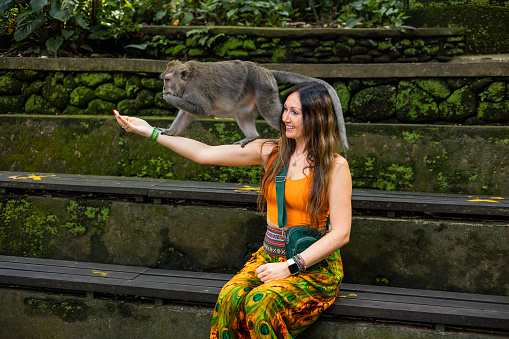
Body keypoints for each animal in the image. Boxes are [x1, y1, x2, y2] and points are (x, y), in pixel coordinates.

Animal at [160, 60, 350, 151]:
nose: (163, 88)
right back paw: (252, 136)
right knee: (242, 115)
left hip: (264, 88)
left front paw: (168, 97)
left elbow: (203, 110)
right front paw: (169, 132)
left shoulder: (195, 91)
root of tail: (265, 71)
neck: (188, 80)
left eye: (167, 80)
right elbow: (187, 114)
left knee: (271, 114)